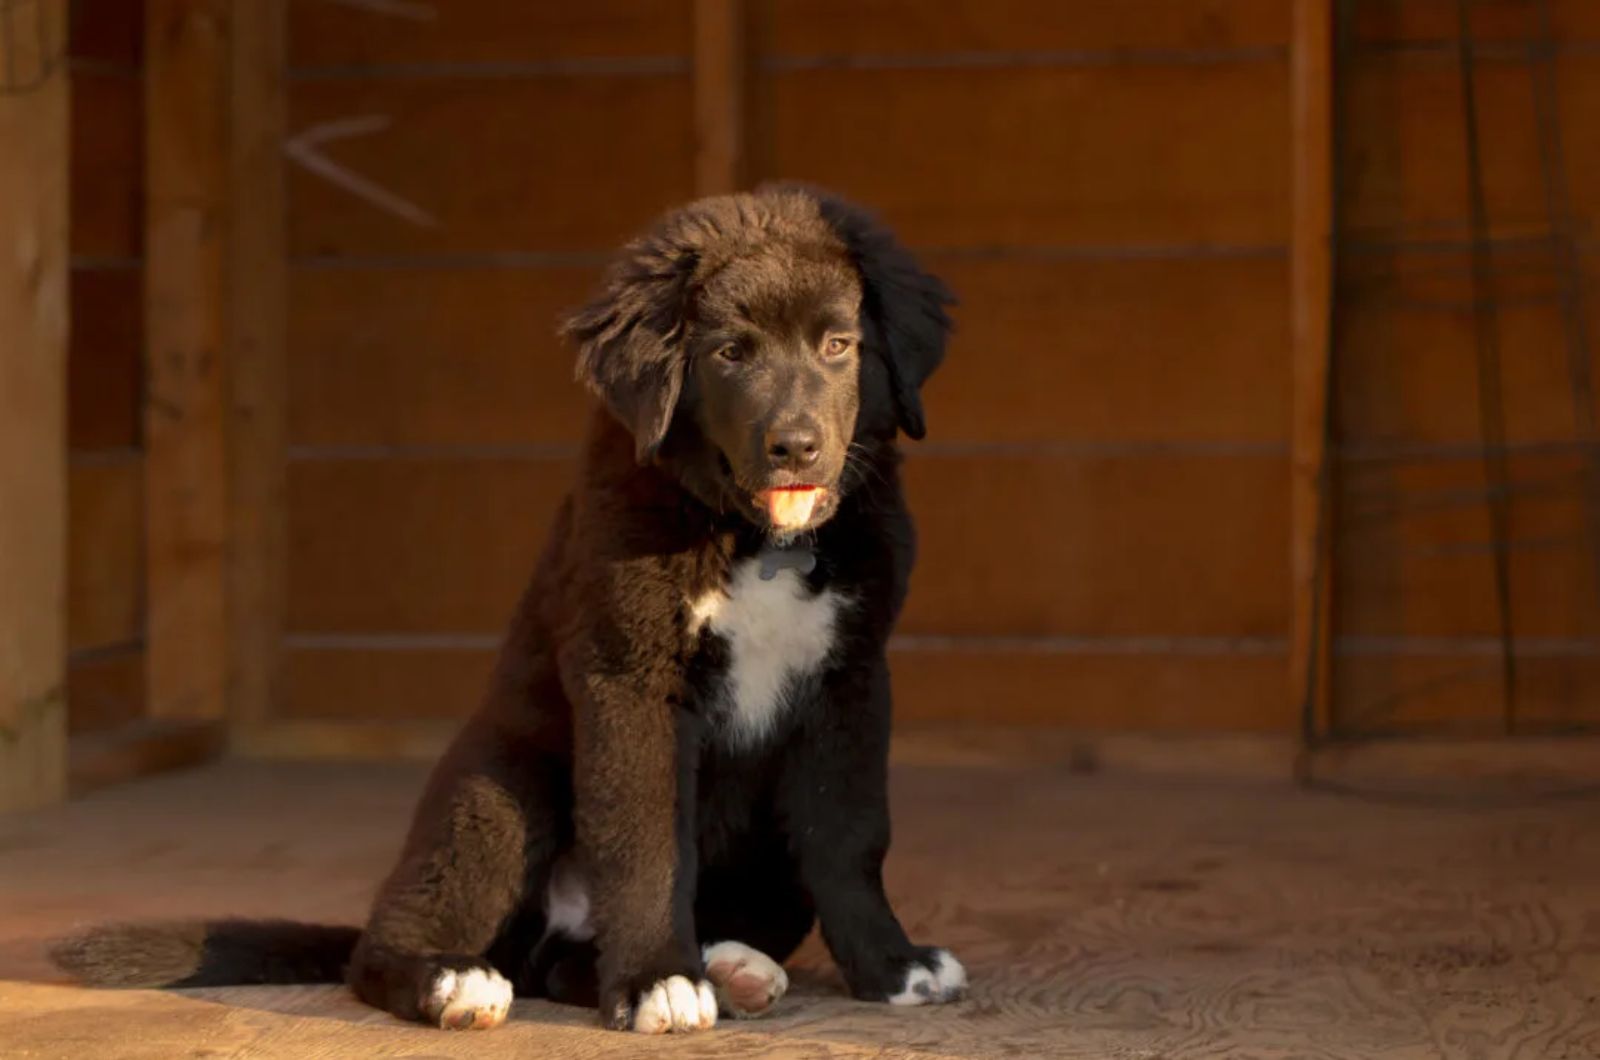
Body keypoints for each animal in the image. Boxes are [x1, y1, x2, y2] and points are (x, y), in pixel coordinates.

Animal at [53, 184, 960, 1037]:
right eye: (730, 353)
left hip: (761, 859)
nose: (797, 446)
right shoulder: (631, 678)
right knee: (388, 949)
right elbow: (646, 839)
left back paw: (728, 966)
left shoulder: (850, 682)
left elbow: (849, 836)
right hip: (497, 792)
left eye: (839, 344)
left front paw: (892, 966)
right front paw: (657, 981)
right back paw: (458, 981)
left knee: (566, 964)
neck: (758, 538)